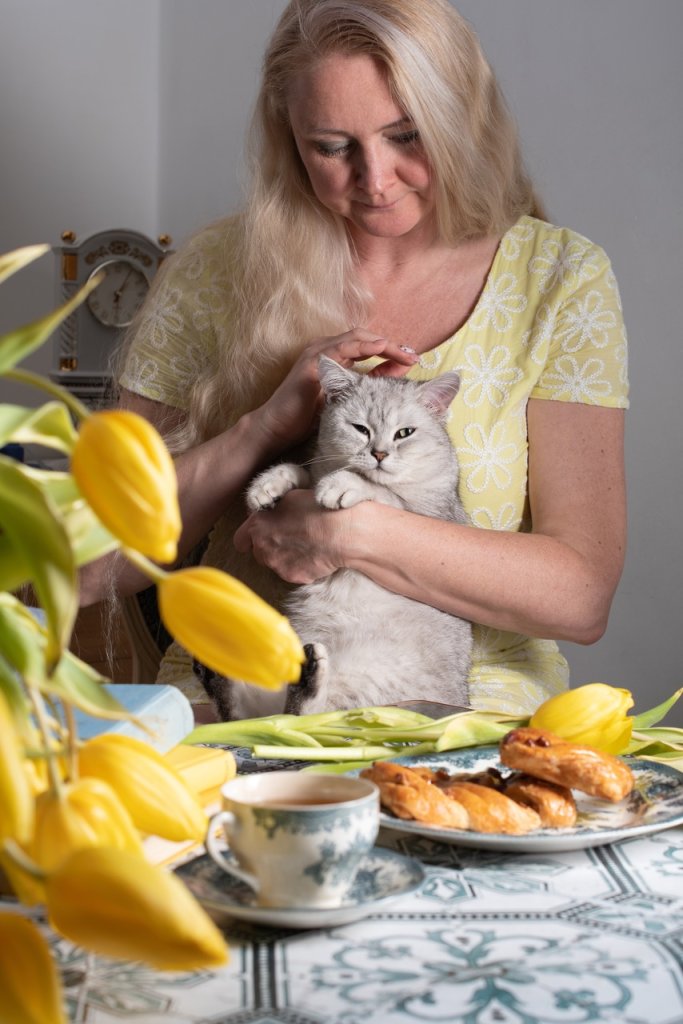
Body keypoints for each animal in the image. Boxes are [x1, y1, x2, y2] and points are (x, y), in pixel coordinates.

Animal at [200, 356, 473, 716]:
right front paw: (269, 484)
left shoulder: (430, 517)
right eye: (360, 429)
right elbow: (304, 472)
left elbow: (382, 492)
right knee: (253, 715)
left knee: (300, 715)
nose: (379, 454)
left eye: (404, 433)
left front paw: (342, 484)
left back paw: (306, 675)